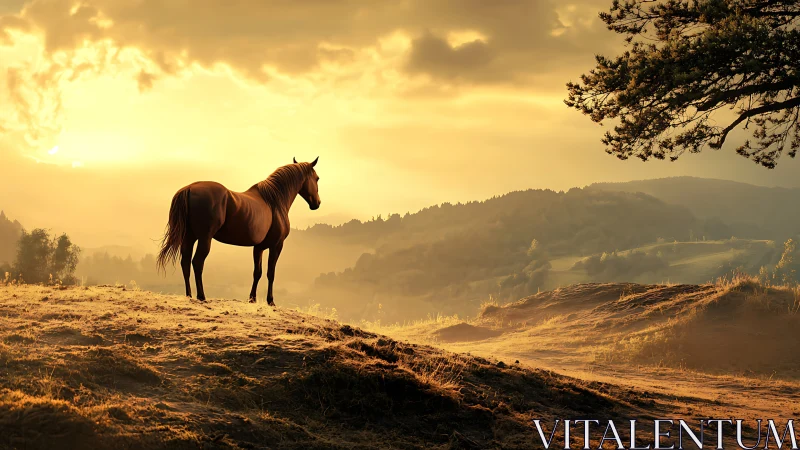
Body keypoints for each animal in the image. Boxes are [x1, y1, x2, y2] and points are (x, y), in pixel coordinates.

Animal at [156, 157, 321, 304]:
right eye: (317, 178)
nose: (317, 203)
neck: (273, 202)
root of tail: (189, 188)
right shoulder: (276, 245)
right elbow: (270, 273)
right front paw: (270, 301)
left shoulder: (258, 247)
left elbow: (257, 272)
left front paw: (252, 299)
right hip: (204, 239)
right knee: (197, 262)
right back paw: (201, 296)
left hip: (189, 238)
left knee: (185, 263)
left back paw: (189, 296)